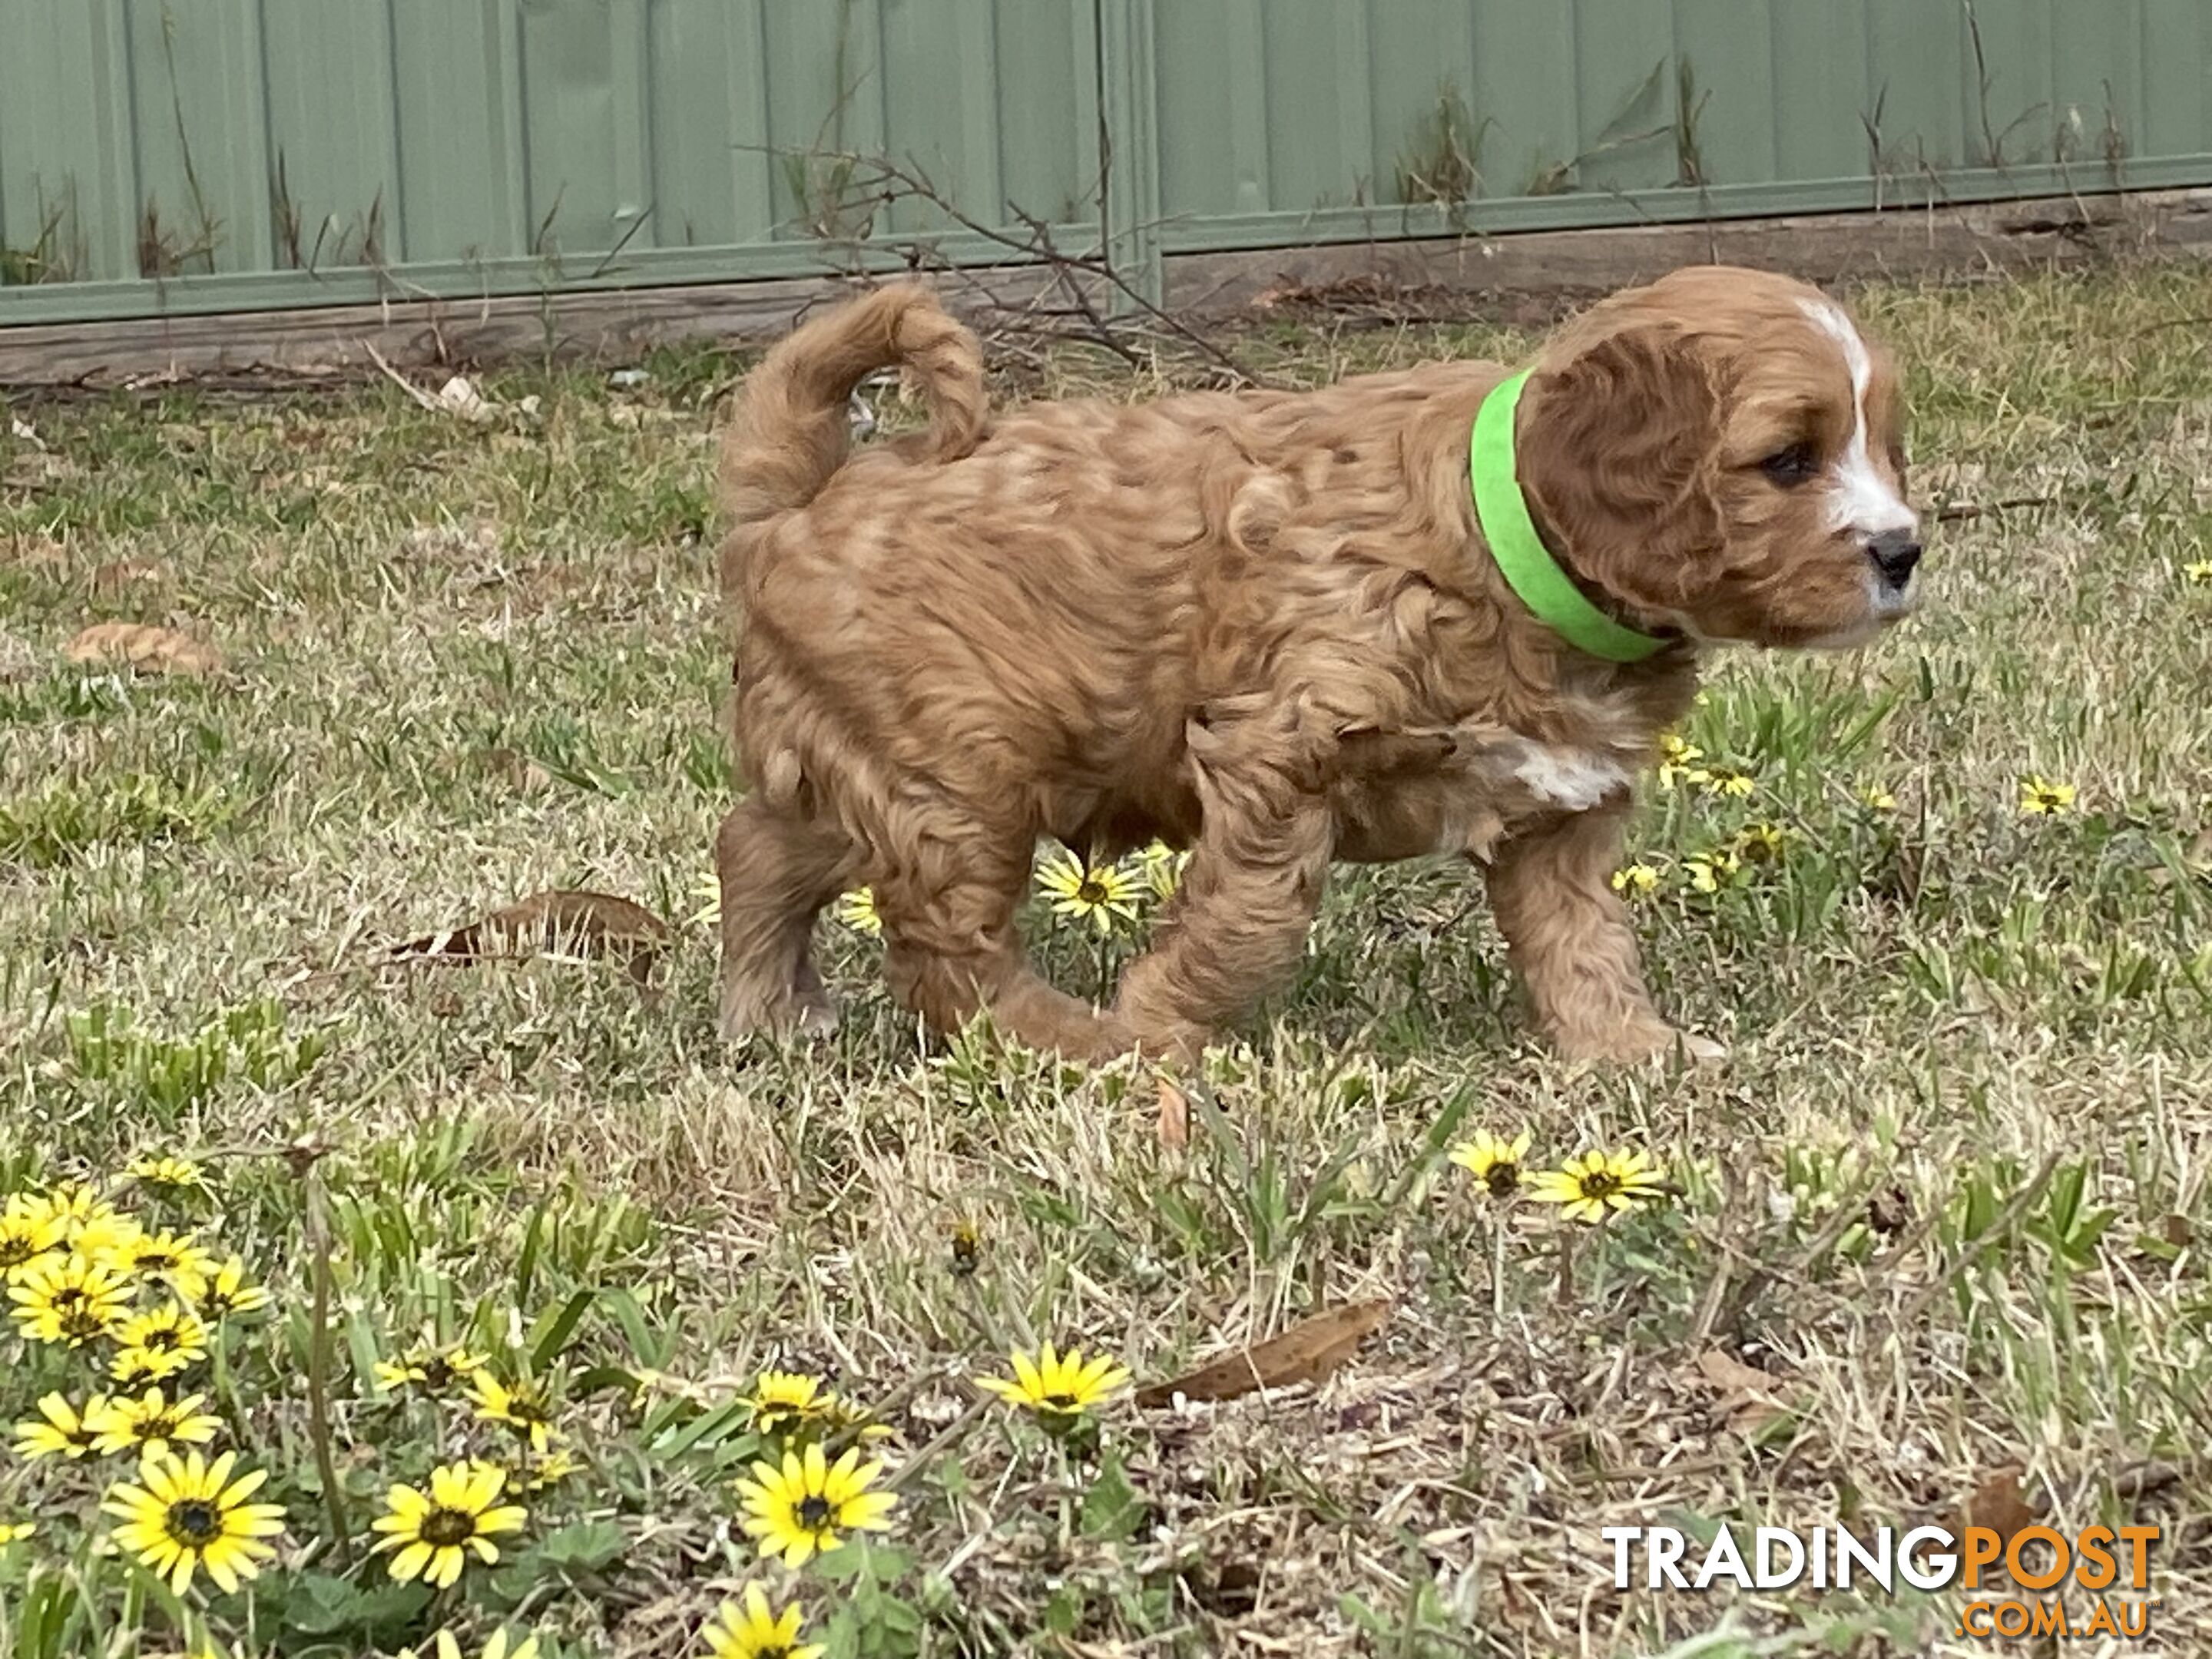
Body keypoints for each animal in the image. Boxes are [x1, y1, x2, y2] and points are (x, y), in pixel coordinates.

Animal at [712, 260, 1919, 1066]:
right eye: (1789, 460)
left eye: (1885, 445)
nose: (1905, 551)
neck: (1500, 544)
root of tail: (803, 497)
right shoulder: (1279, 749)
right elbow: (1250, 922)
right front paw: (1161, 1021)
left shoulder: (1562, 811)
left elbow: (1582, 941)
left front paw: (1629, 1051)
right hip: (961, 772)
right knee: (941, 945)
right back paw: (1081, 1045)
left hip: (869, 761)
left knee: (762, 849)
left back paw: (768, 1012)